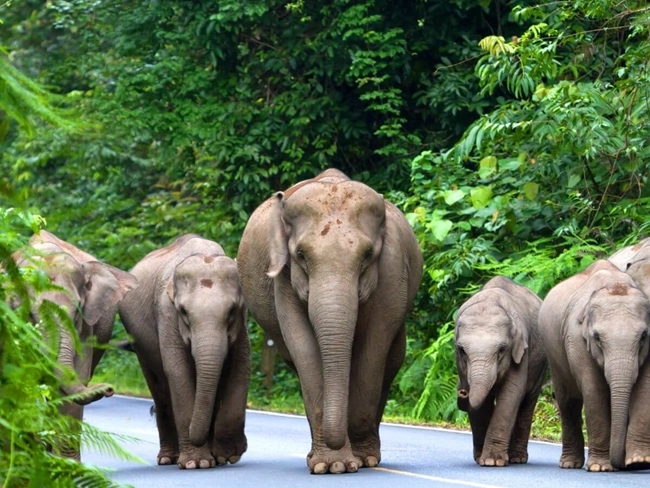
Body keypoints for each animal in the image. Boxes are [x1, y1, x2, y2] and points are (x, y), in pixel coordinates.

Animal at [118, 234, 250, 470]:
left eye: (232, 311)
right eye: (184, 312)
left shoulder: (242, 324)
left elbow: (241, 367)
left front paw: (227, 455)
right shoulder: (166, 314)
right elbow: (178, 372)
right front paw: (197, 463)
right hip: (140, 345)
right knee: (160, 389)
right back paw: (168, 458)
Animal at [237, 168, 423, 474]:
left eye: (367, 255)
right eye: (301, 255)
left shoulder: (392, 271)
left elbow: (374, 348)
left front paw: (360, 460)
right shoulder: (284, 280)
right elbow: (303, 348)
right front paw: (331, 465)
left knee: (392, 360)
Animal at [455, 276, 546, 467]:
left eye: (502, 349)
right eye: (462, 350)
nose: (462, 392)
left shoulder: (522, 350)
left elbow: (511, 393)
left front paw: (492, 461)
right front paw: (482, 459)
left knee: (527, 403)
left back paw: (517, 458)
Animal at [538, 259, 650, 471]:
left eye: (643, 337)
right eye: (597, 338)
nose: (622, 465)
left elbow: (644, 390)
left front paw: (639, 461)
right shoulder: (575, 338)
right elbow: (594, 390)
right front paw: (600, 467)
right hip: (553, 355)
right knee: (568, 403)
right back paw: (570, 464)